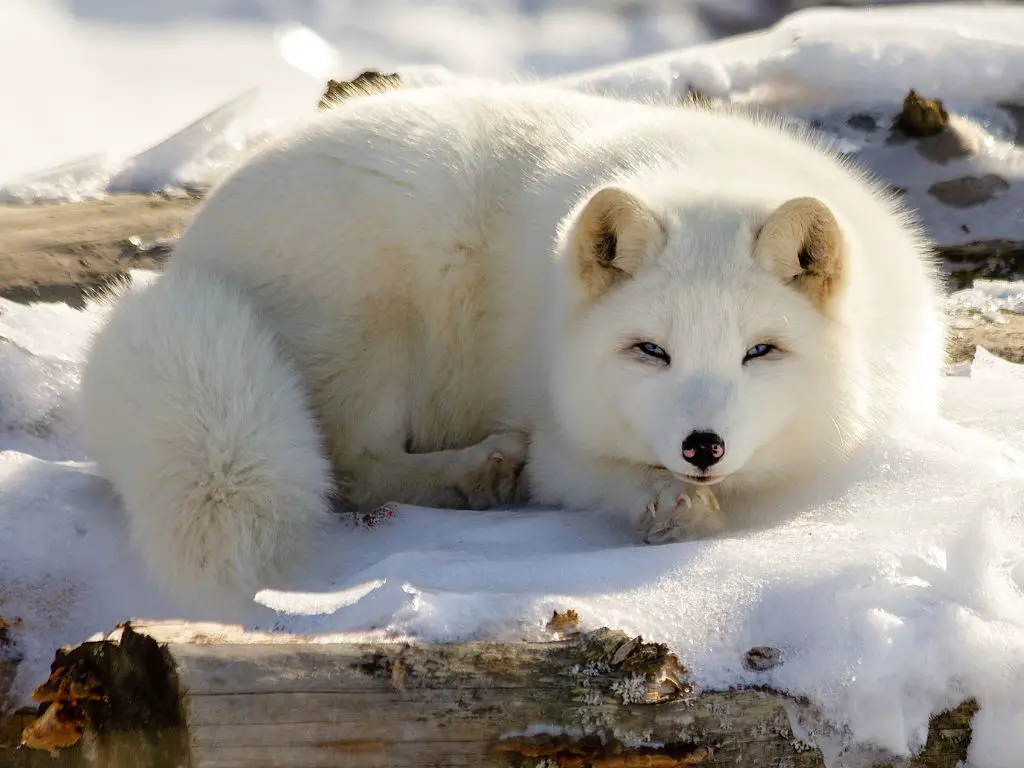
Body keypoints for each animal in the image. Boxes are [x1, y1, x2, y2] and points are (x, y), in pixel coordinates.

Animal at [77, 83, 942, 614]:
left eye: (760, 351)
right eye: (651, 351)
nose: (703, 446)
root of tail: (189, 258)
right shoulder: (561, 436)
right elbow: (598, 476)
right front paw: (668, 503)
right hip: (379, 321)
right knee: (354, 465)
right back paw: (477, 473)